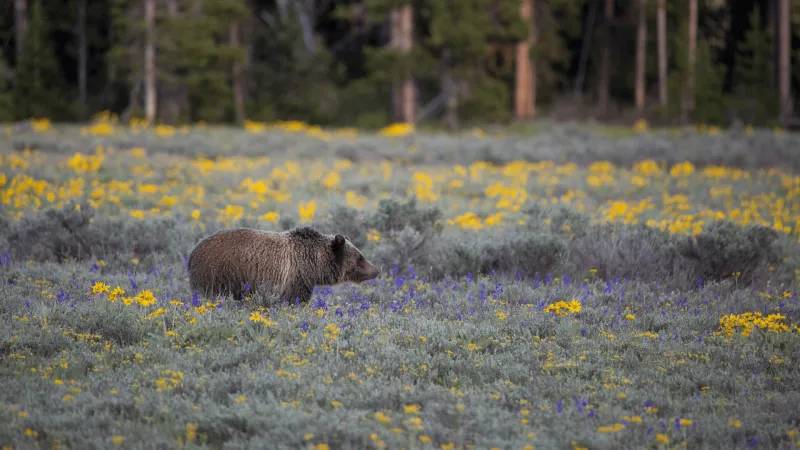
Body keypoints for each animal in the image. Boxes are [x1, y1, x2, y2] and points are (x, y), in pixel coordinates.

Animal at [187, 226, 379, 304]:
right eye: (360, 257)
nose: (376, 270)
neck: (314, 263)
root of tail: (192, 252)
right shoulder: (295, 277)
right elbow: (294, 299)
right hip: (219, 273)